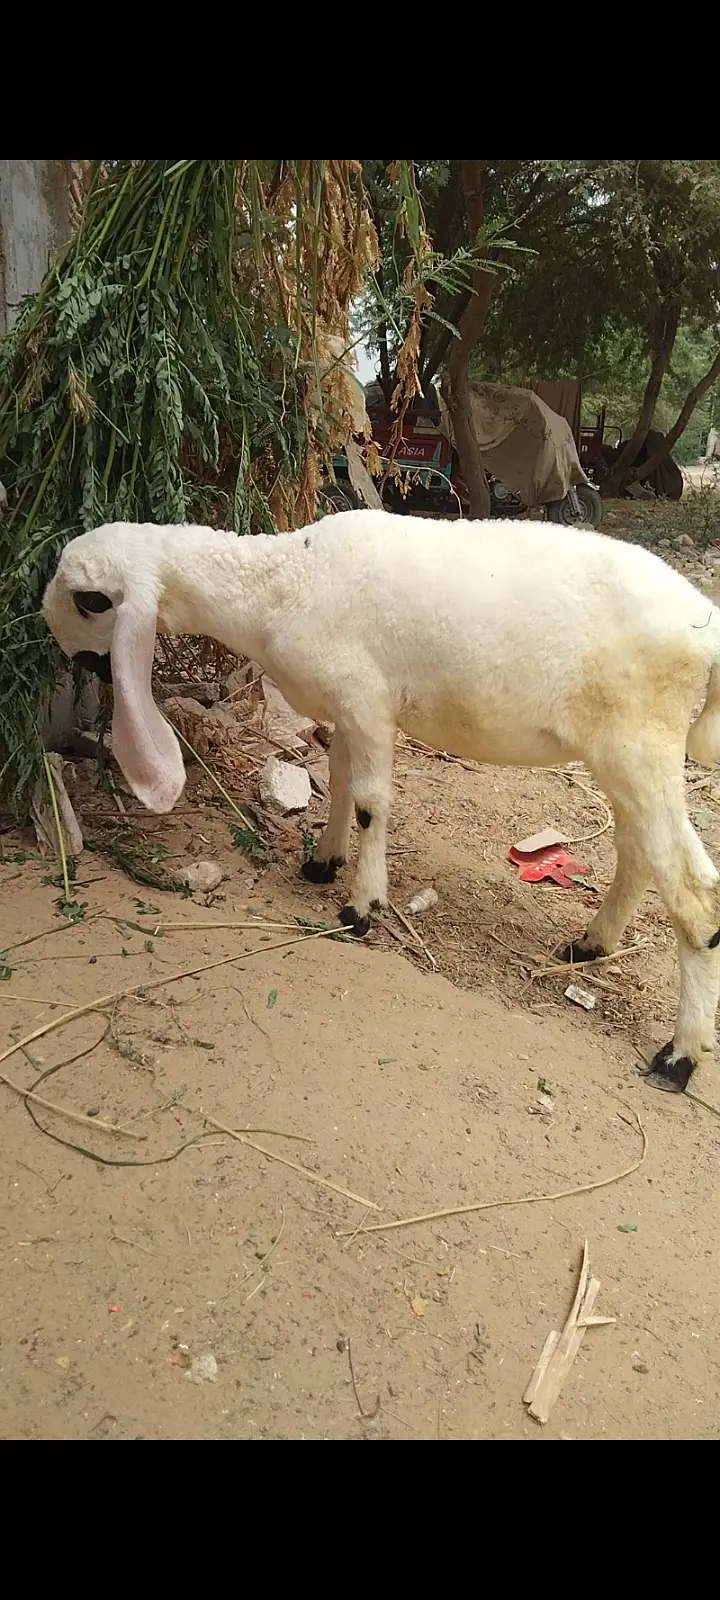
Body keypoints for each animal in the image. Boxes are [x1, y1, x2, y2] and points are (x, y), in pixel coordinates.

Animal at [42, 509, 720, 1095]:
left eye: (87, 600)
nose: (79, 662)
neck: (281, 581)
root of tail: (706, 629)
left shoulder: (364, 698)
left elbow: (370, 800)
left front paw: (361, 906)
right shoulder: (345, 707)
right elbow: (339, 780)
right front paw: (322, 862)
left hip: (641, 743)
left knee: (693, 888)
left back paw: (679, 1056)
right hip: (624, 755)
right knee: (638, 852)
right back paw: (592, 944)